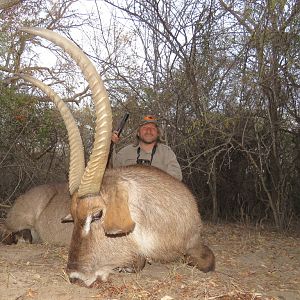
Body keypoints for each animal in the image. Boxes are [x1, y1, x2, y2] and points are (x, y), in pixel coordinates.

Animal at [4, 26, 216, 286]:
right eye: (74, 217)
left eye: (97, 214)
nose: (75, 276)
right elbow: (138, 261)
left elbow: (206, 261)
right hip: (16, 220)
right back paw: (22, 236)